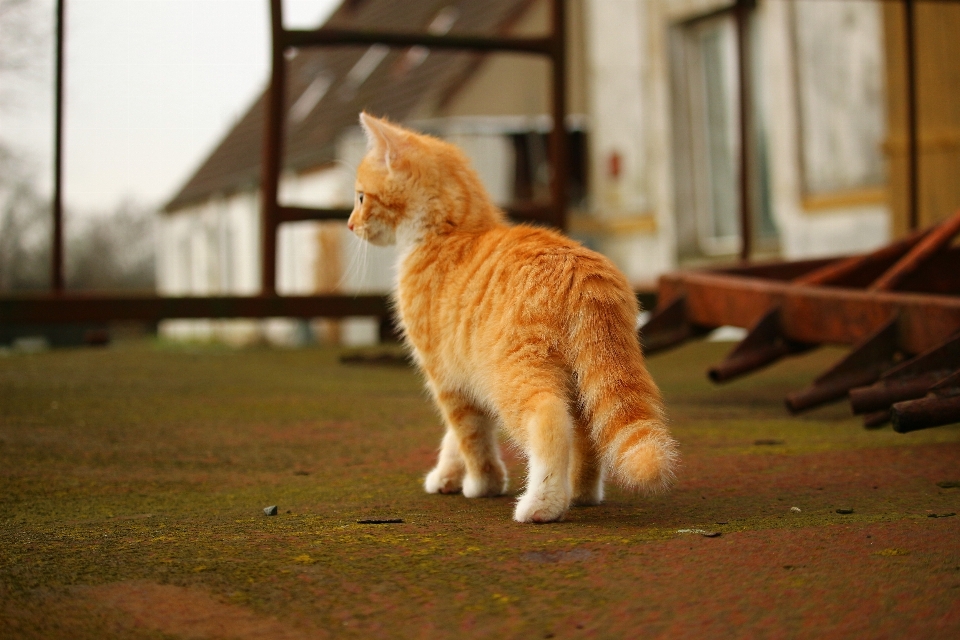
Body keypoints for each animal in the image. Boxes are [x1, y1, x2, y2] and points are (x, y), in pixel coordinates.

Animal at [348, 112, 680, 524]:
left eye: (361, 197)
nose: (350, 224)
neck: (450, 230)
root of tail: (581, 269)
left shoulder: (446, 377)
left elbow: (470, 435)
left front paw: (481, 483)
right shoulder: (466, 373)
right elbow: (454, 437)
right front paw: (447, 475)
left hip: (514, 373)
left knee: (550, 421)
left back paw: (542, 504)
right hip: (584, 379)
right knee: (587, 434)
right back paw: (581, 493)